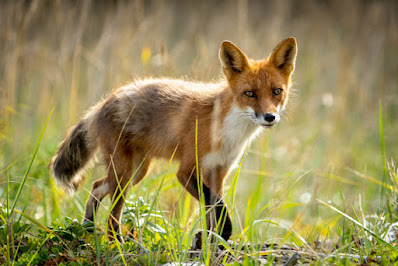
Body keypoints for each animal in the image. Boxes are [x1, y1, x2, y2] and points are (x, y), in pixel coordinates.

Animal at [49, 37, 296, 245]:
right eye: (250, 93)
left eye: (277, 91)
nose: (270, 117)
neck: (226, 130)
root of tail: (104, 101)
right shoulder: (186, 171)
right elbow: (215, 204)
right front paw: (222, 232)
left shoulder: (218, 171)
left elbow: (212, 209)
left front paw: (211, 242)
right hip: (124, 175)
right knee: (112, 214)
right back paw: (115, 243)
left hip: (136, 171)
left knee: (96, 187)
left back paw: (87, 228)